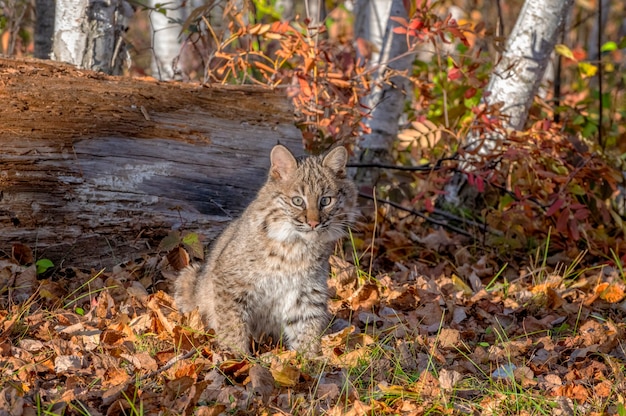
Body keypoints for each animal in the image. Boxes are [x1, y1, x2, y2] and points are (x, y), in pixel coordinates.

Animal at [173, 145, 356, 356]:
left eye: (326, 201)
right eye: (297, 201)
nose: (313, 223)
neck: (296, 245)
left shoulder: (307, 290)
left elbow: (307, 325)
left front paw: (308, 358)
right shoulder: (229, 280)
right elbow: (232, 322)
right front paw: (236, 356)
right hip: (188, 275)